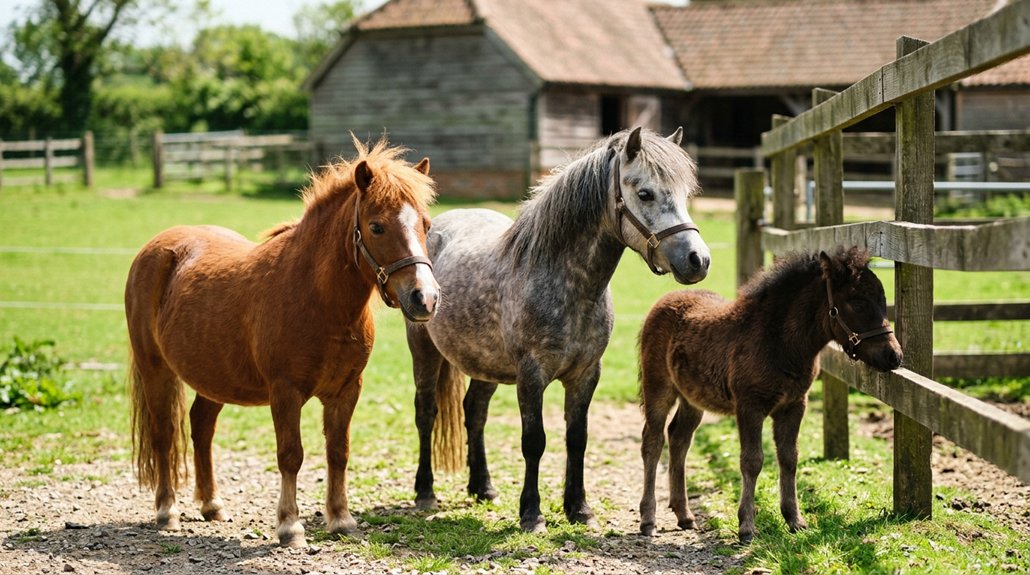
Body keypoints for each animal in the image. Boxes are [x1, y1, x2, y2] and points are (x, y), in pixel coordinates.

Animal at [124, 137, 439, 548]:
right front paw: (290, 526)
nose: (425, 298)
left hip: (214, 377)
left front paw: (341, 519)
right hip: (155, 369)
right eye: (376, 226)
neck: (319, 299)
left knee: (201, 427)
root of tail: (156, 248)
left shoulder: (346, 391)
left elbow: (338, 453)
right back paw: (167, 511)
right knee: (164, 435)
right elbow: (291, 455)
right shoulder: (285, 391)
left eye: (426, 224)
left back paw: (212, 505)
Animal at [406, 127, 711, 532]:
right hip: (423, 349)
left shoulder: (585, 375)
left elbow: (576, 438)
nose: (698, 260)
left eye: (685, 193)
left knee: (475, 412)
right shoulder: (531, 375)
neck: (566, 284)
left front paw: (578, 508)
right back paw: (425, 492)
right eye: (645, 193)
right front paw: (532, 514)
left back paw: (482, 487)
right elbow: (534, 441)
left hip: (484, 363)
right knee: (426, 412)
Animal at [637, 246, 903, 542]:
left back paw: (684, 514)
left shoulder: (794, 405)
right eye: (857, 304)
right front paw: (747, 526)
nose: (894, 356)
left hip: (692, 398)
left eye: (883, 299)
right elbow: (752, 461)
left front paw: (794, 519)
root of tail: (665, 299)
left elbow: (789, 458)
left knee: (679, 438)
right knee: (653, 441)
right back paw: (648, 519)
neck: (779, 342)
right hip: (659, 387)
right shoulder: (750, 406)